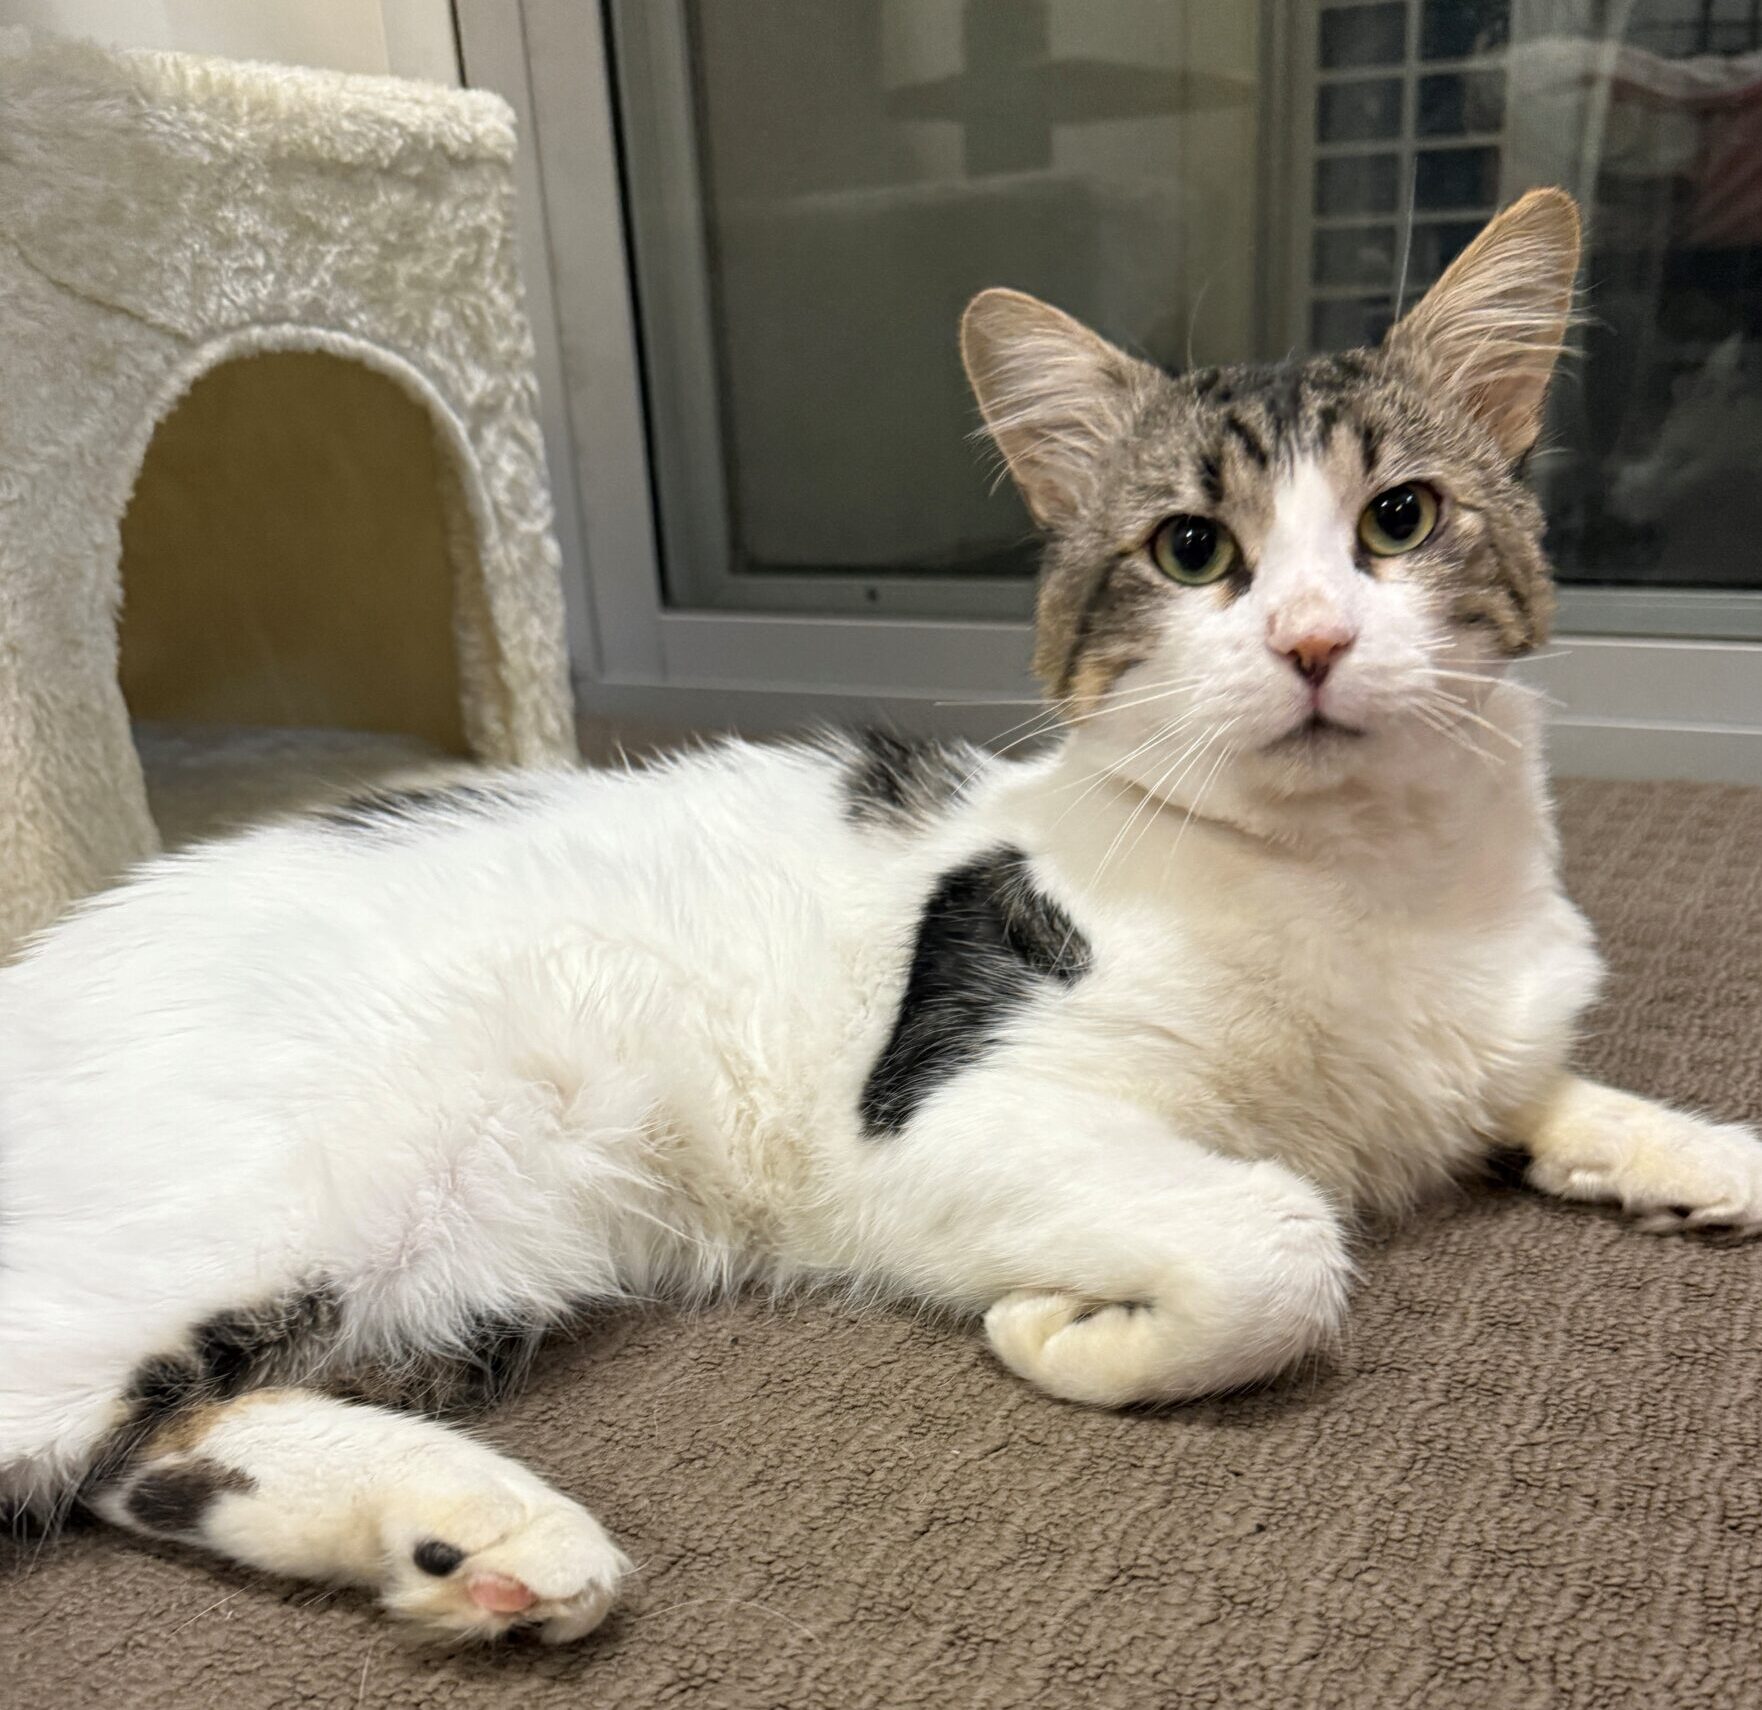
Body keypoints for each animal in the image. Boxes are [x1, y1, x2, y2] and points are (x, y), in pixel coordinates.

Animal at [2, 188, 1758, 1644]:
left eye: (1399, 518)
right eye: (1193, 549)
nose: (1315, 638)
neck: (1366, 884)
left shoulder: (1478, 1036)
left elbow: (1542, 1088)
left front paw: (1685, 1156)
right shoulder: (946, 1123)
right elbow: (1275, 1233)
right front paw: (1068, 1334)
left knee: (155, 1446)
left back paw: (471, 1537)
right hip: (285, 1193)